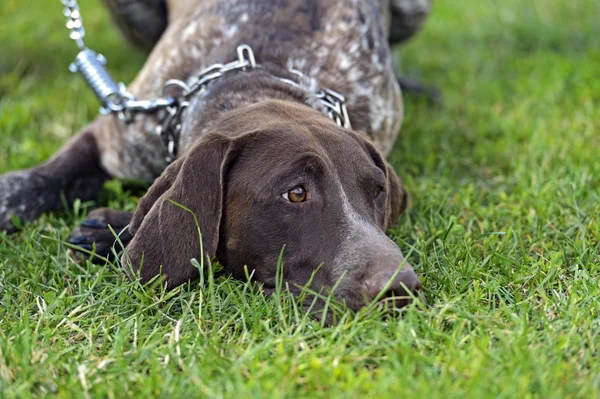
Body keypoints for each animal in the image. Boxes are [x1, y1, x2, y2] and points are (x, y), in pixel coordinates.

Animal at [0, 0, 432, 312]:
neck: (260, 75)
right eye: (295, 193)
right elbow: (41, 179)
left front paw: (111, 229)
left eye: (377, 191)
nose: (400, 288)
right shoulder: (116, 131)